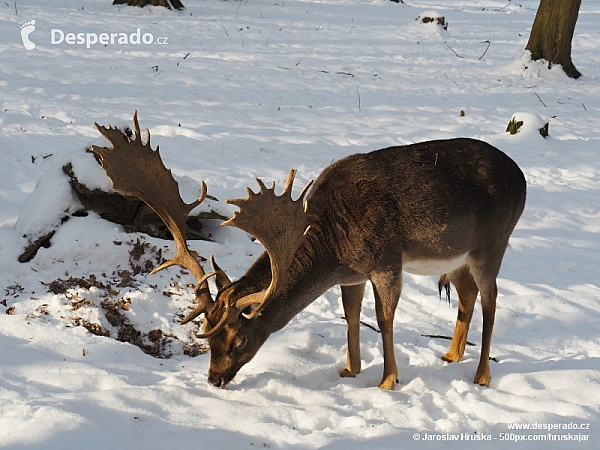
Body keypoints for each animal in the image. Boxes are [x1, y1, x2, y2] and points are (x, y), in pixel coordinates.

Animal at [92, 111, 524, 390]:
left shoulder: (386, 259)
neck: (335, 246)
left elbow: (384, 319)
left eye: (240, 341)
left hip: (493, 241)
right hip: (461, 256)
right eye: (207, 339)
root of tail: (521, 178)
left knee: (491, 299)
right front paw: (350, 370)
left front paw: (388, 380)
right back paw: (451, 356)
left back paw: (481, 375)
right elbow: (351, 316)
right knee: (467, 295)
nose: (214, 379)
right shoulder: (353, 274)